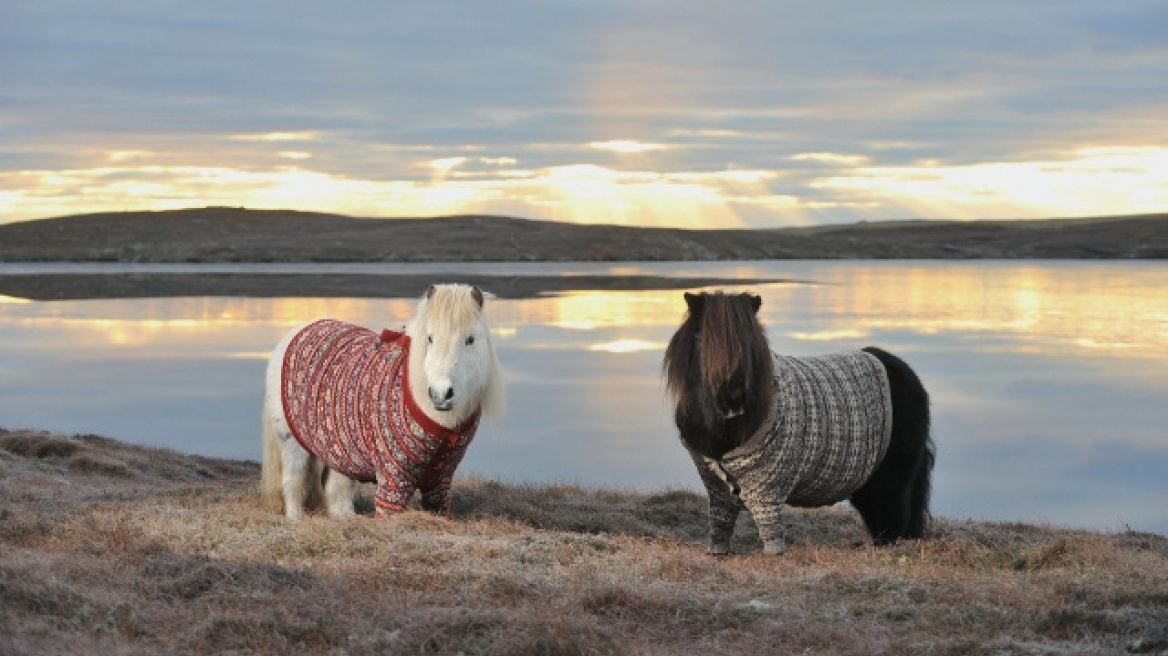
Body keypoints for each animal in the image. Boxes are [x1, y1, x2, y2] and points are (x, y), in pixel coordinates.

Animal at [262, 283, 504, 518]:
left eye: (470, 339)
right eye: (430, 338)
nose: (440, 394)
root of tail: (295, 333)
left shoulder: (440, 482)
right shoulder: (393, 481)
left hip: (341, 452)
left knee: (337, 492)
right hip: (293, 443)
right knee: (294, 483)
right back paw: (295, 519)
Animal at [663, 290, 934, 546]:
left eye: (750, 343)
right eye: (702, 340)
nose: (733, 400)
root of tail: (905, 372)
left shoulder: (767, 492)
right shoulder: (718, 491)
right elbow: (719, 525)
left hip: (892, 477)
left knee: (894, 513)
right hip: (867, 478)